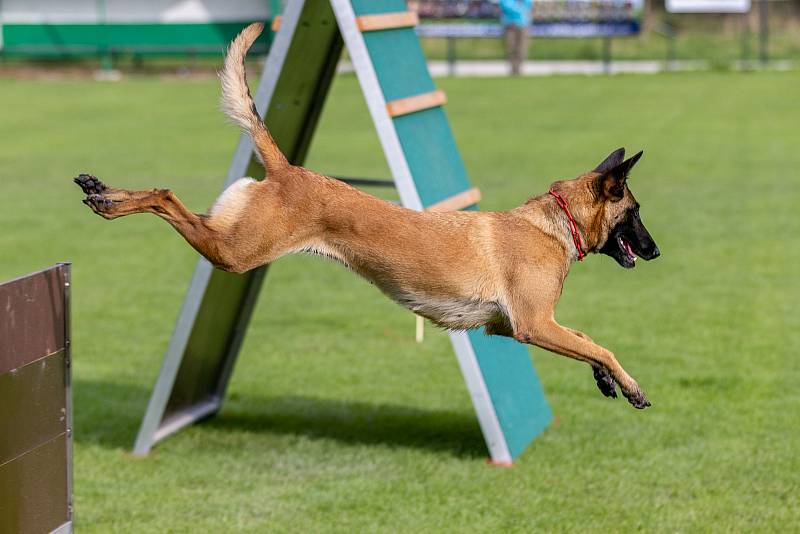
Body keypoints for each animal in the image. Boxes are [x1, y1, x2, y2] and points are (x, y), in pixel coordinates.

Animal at [76, 19, 664, 406]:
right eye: (635, 212)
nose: (657, 250)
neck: (553, 222)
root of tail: (287, 170)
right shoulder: (532, 324)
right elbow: (601, 344)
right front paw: (630, 383)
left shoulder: (514, 327)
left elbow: (585, 341)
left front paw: (605, 380)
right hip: (234, 252)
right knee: (166, 195)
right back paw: (107, 200)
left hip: (231, 240)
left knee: (176, 203)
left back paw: (101, 188)